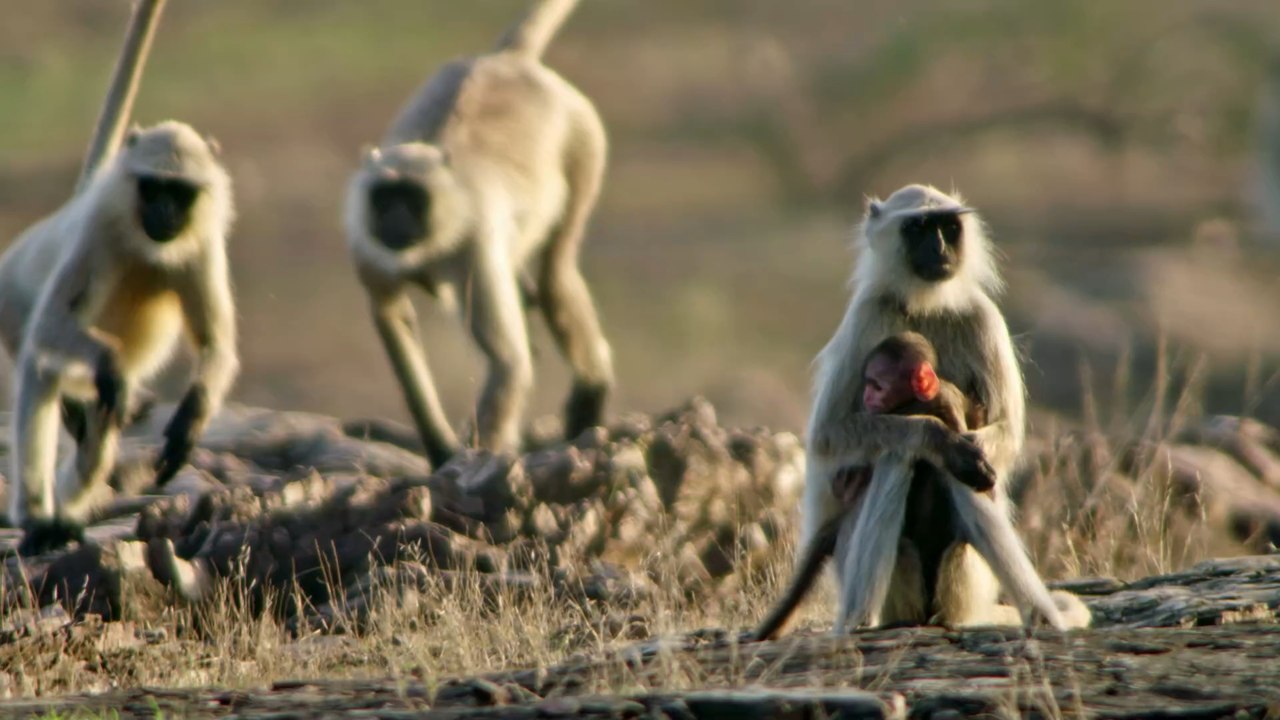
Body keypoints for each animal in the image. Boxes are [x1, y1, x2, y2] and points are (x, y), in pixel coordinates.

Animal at [0, 2, 238, 555]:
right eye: (152, 189)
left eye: (180, 193)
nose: (165, 213)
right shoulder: (98, 231)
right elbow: (52, 325)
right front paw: (113, 369)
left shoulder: (201, 245)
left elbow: (217, 344)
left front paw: (188, 423)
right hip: (12, 300)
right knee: (41, 366)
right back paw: (36, 515)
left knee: (96, 435)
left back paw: (65, 513)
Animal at [344, 0, 614, 470]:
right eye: (385, 198)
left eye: (412, 200)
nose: (395, 220)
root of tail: (507, 60)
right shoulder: (367, 244)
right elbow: (392, 318)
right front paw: (440, 450)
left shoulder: (474, 246)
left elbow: (507, 363)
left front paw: (471, 464)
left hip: (584, 138)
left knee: (555, 275)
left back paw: (592, 393)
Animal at [797, 184, 1090, 633]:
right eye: (919, 228)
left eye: (948, 228)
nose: (938, 249)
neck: (925, 304)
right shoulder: (869, 313)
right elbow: (829, 434)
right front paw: (939, 437)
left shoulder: (983, 316)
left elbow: (1004, 434)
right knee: (898, 454)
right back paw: (858, 620)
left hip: (966, 582)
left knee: (964, 477)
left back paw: (1042, 616)